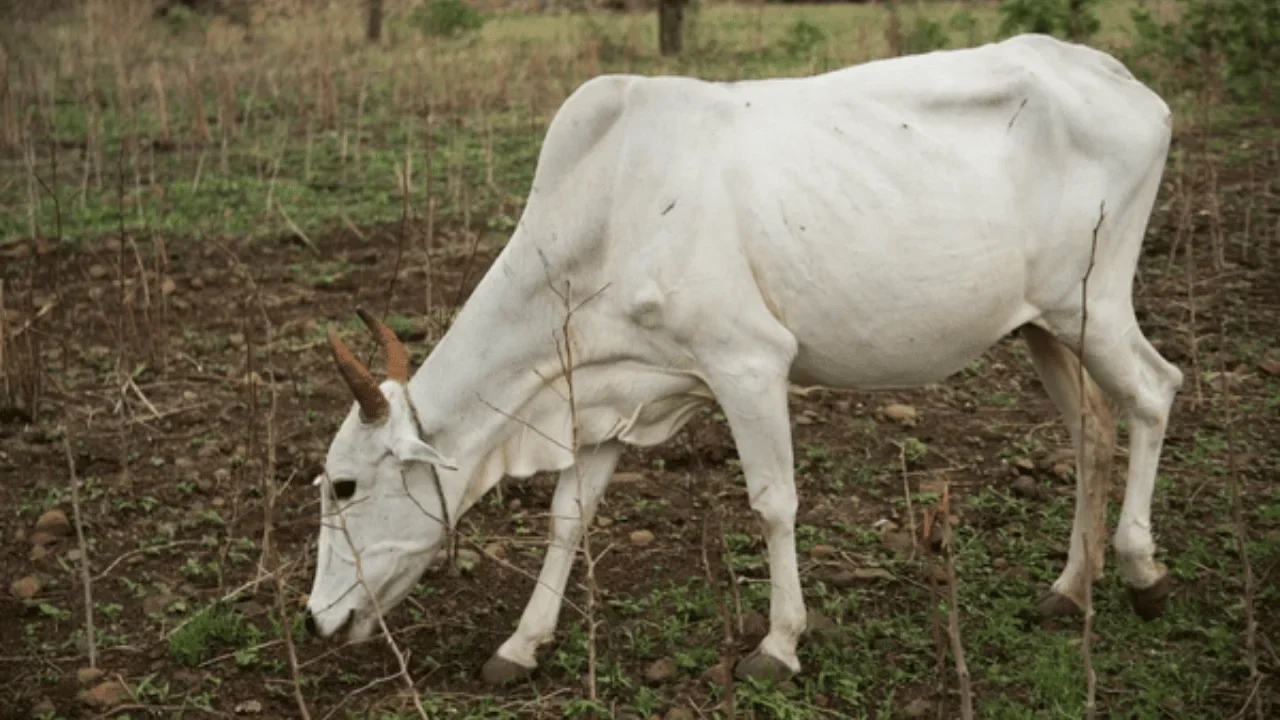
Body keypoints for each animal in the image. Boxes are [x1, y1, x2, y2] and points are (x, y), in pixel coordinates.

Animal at [301, 33, 1183, 685]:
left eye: (344, 486)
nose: (315, 622)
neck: (605, 213)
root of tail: (1122, 80)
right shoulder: (615, 393)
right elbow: (567, 516)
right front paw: (520, 645)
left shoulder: (748, 363)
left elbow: (773, 503)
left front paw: (778, 645)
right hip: (1042, 325)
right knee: (1091, 429)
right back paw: (1069, 590)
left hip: (1094, 305)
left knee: (1155, 391)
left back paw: (1142, 573)